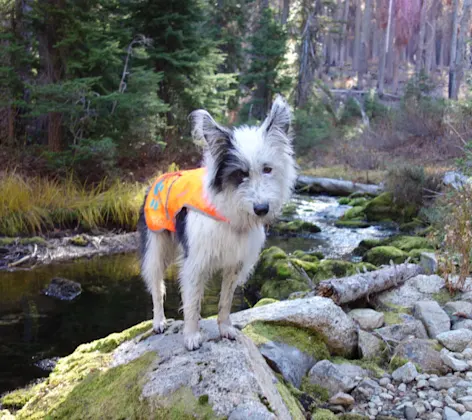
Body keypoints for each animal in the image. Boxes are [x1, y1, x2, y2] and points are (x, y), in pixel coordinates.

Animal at [138, 95, 296, 352]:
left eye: (267, 169)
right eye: (240, 174)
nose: (262, 209)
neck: (230, 211)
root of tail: (159, 177)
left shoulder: (235, 263)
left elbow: (225, 301)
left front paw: (225, 329)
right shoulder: (195, 262)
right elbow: (192, 303)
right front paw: (192, 335)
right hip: (155, 244)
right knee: (157, 286)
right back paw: (159, 321)